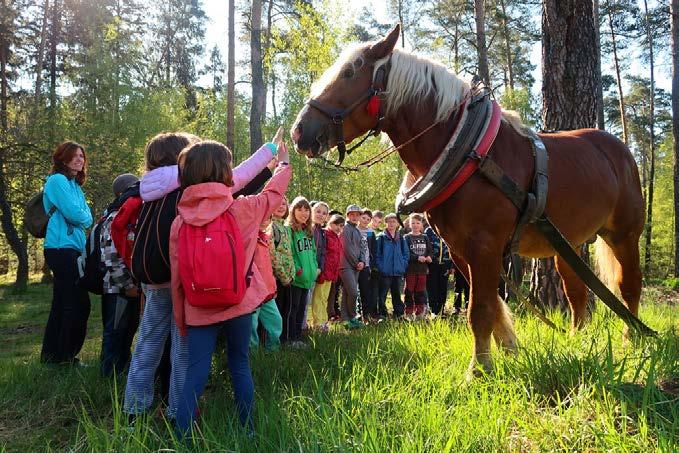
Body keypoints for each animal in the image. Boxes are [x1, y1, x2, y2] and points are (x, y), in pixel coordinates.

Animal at [290, 26, 644, 376]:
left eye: (350, 72)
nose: (298, 132)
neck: (468, 152)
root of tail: (620, 150)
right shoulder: (458, 248)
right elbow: (490, 305)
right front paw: (508, 352)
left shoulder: (485, 245)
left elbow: (481, 307)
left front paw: (479, 368)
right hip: (566, 245)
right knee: (577, 293)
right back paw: (577, 341)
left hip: (624, 235)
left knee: (628, 287)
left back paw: (632, 340)